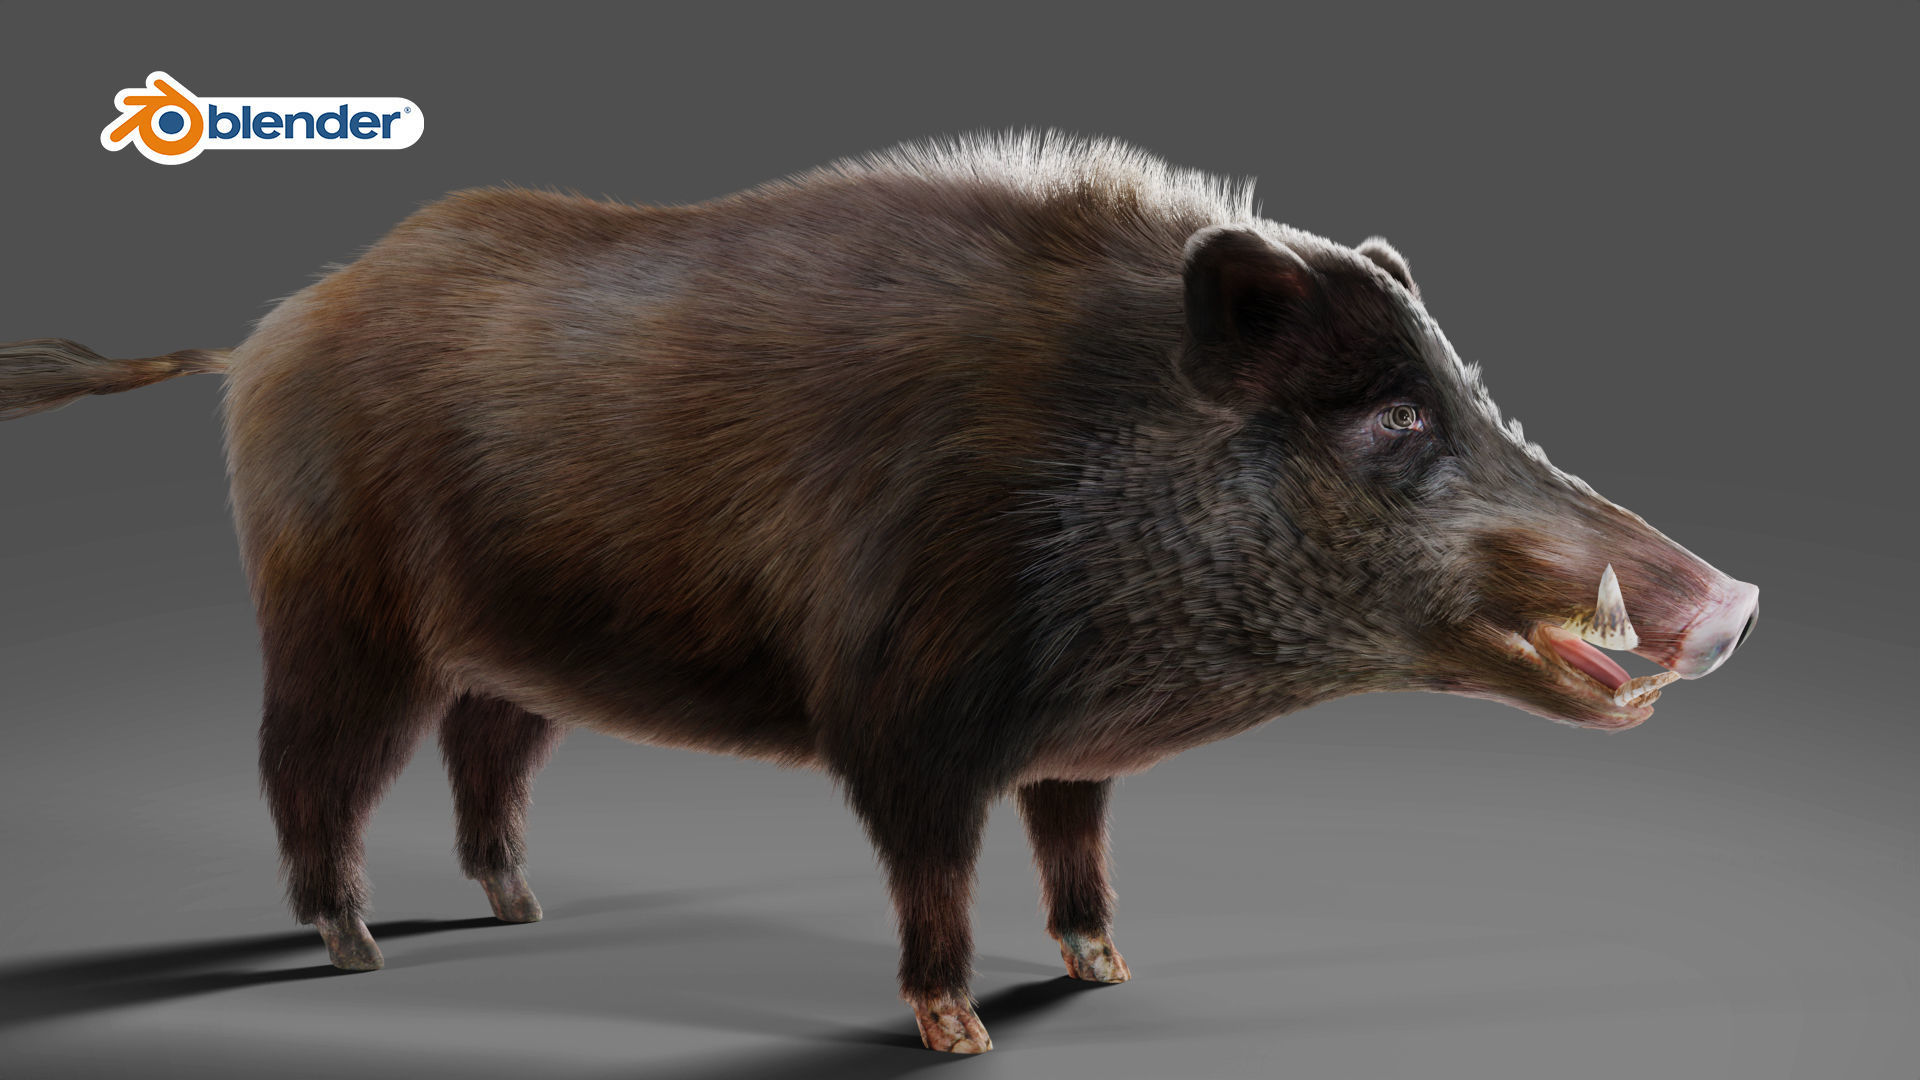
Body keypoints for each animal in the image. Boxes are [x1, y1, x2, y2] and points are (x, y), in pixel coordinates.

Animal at [0, 132, 1758, 1053]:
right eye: (1388, 423)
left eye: (1469, 393)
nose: (1735, 595)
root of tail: (270, 328)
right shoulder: (902, 716)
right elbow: (933, 872)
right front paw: (960, 1033)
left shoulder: (1067, 750)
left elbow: (1076, 851)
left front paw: (1107, 974)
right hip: (334, 611)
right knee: (304, 766)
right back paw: (358, 951)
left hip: (505, 648)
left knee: (485, 753)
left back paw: (520, 909)